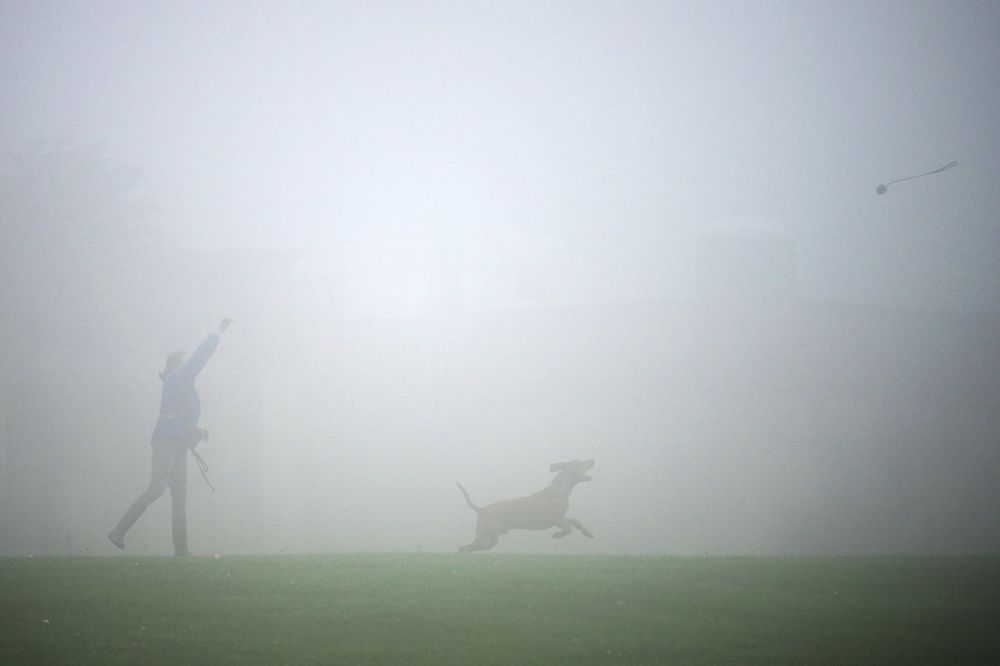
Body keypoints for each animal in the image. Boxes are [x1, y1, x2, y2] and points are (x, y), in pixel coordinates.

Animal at [458, 456, 592, 548]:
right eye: (579, 462)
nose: (593, 460)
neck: (560, 489)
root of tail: (482, 509)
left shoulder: (562, 518)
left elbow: (576, 522)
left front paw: (588, 533)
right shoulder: (554, 519)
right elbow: (568, 528)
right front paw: (557, 535)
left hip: (486, 537)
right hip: (489, 538)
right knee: (465, 549)